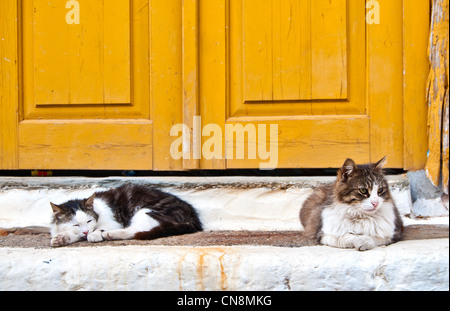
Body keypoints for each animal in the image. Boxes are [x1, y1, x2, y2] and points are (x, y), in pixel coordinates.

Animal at [49, 185, 202, 249]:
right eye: (75, 224)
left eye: (89, 220)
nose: (86, 231)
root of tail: (192, 215)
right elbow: (73, 234)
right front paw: (62, 238)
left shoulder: (114, 221)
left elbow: (99, 229)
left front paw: (94, 234)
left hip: (146, 211)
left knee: (133, 231)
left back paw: (110, 234)